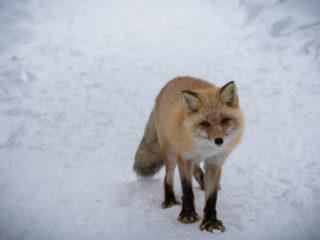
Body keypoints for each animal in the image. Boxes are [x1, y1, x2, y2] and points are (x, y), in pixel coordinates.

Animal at [134, 76, 244, 232]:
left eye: (224, 120)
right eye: (205, 123)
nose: (219, 140)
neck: (205, 148)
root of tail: (174, 79)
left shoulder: (215, 162)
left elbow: (211, 197)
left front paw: (210, 221)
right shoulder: (184, 157)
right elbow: (187, 190)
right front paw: (188, 213)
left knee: (196, 169)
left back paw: (203, 183)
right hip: (170, 153)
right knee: (168, 178)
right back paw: (170, 200)